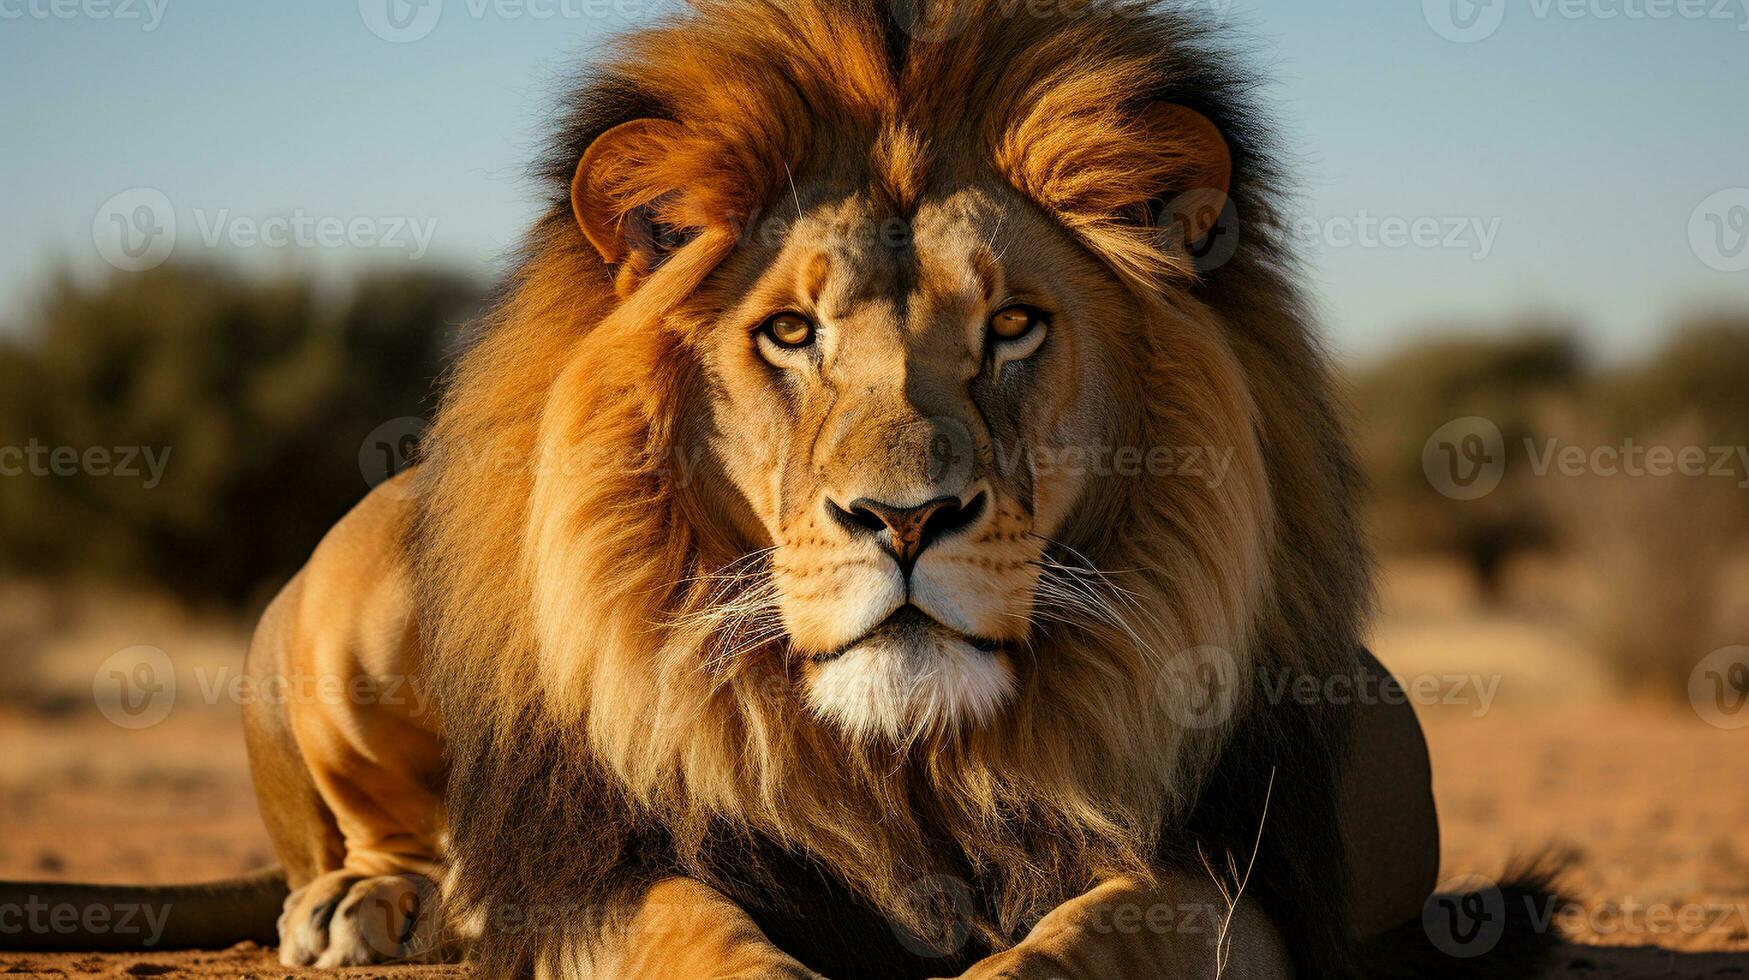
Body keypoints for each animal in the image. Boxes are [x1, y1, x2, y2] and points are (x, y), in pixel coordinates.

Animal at [0, 1, 1567, 980]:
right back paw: (373, 899)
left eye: (1013, 327)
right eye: (791, 333)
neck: (901, 762)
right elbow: (696, 934)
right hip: (364, 582)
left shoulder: (1231, 880)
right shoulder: (608, 868)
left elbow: (1094, 936)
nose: (904, 520)